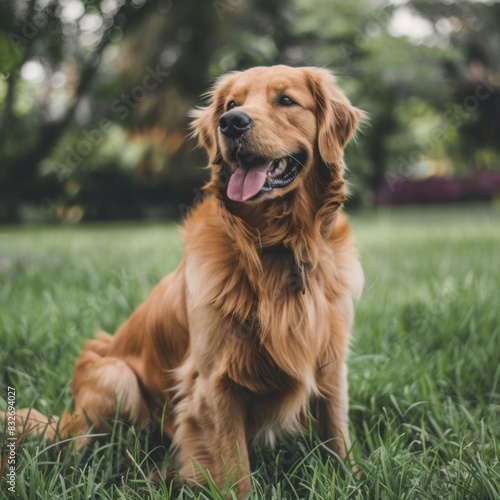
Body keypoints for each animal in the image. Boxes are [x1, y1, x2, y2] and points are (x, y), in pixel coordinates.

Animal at [11, 66, 364, 496]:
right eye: (231, 104)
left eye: (286, 100)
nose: (232, 123)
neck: (276, 247)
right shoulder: (213, 384)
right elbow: (235, 472)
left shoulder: (331, 363)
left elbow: (337, 437)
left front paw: (351, 481)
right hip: (116, 377)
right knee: (89, 450)